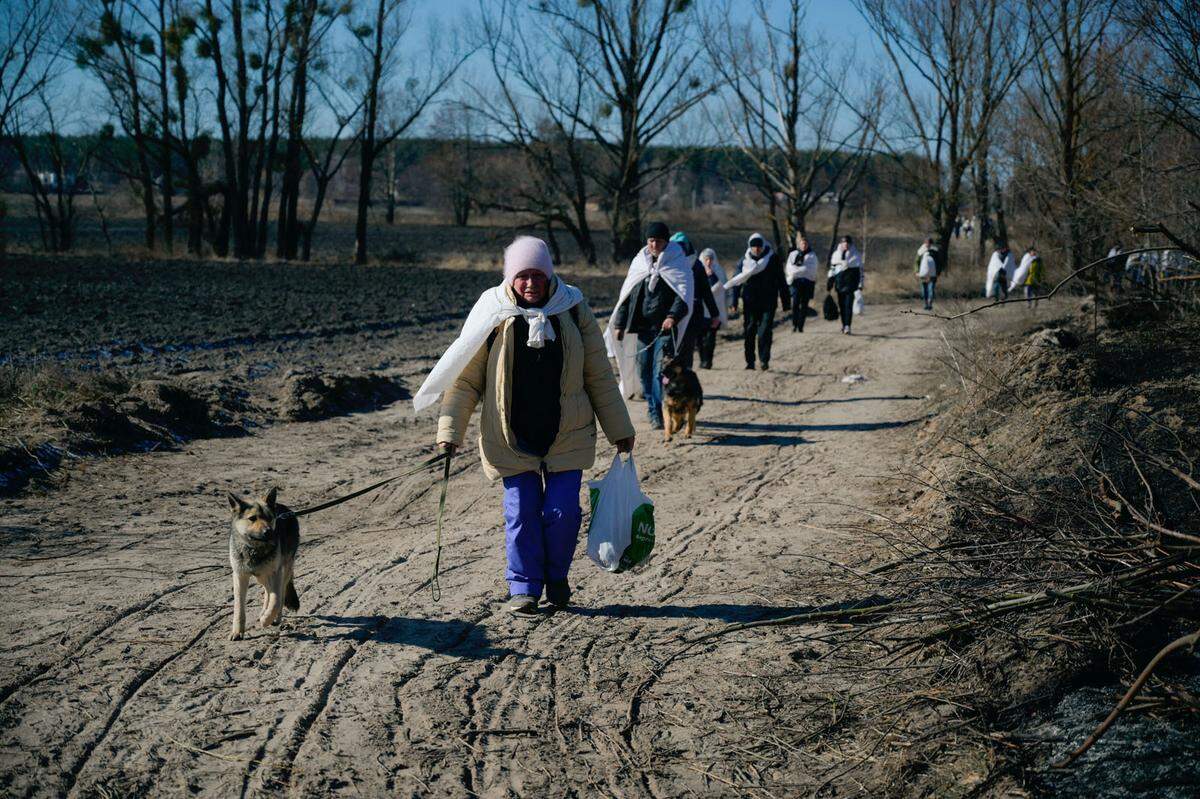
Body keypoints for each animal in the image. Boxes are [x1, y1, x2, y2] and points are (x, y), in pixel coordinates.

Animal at [226, 482, 300, 638]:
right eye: (252, 518)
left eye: (270, 518)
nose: (269, 532)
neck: (254, 549)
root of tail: (287, 510)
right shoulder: (240, 575)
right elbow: (239, 606)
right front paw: (237, 631)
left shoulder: (276, 573)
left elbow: (276, 599)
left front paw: (267, 619)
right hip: (262, 575)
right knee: (268, 590)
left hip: (283, 570)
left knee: (279, 592)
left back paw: (274, 618)